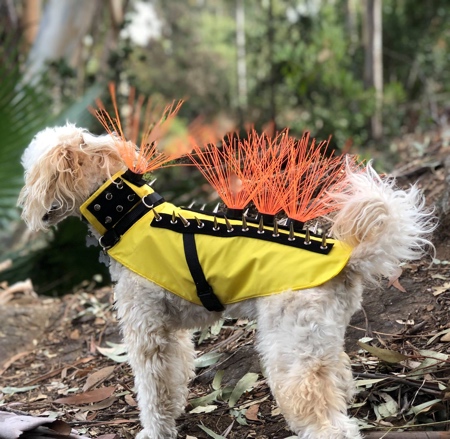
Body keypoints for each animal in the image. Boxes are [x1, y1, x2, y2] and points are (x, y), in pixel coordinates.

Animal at [16, 124, 432, 439]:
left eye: (30, 171)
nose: (23, 206)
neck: (129, 214)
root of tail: (347, 259)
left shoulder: (147, 334)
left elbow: (152, 390)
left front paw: (154, 431)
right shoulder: (172, 334)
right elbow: (174, 381)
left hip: (290, 345)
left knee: (321, 408)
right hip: (321, 341)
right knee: (339, 382)